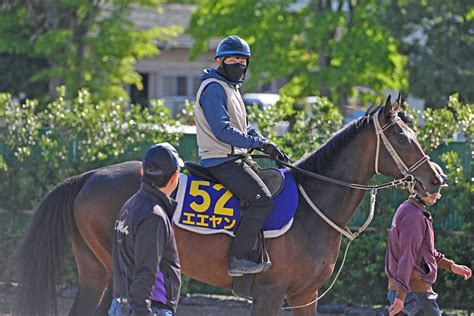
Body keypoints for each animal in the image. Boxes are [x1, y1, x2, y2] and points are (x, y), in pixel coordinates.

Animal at [15, 97, 444, 316]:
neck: (313, 207)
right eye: (402, 138)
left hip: (99, 271)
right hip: (107, 272)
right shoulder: (269, 295)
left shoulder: (304, 296)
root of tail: (87, 176)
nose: (436, 179)